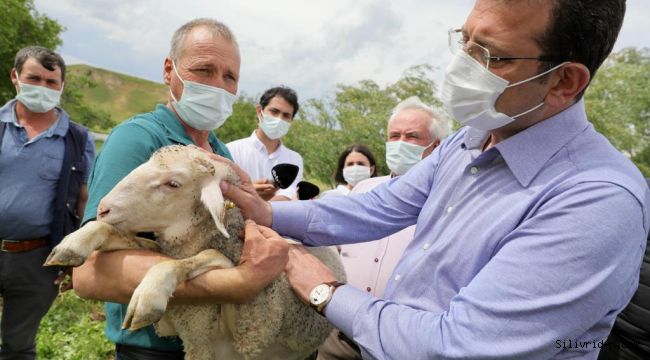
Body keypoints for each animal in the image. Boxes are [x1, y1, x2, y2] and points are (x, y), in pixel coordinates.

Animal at [43, 146, 346, 360]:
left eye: (173, 184)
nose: (103, 208)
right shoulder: (188, 331)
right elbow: (119, 235)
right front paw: (75, 242)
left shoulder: (247, 335)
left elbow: (200, 258)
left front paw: (148, 296)